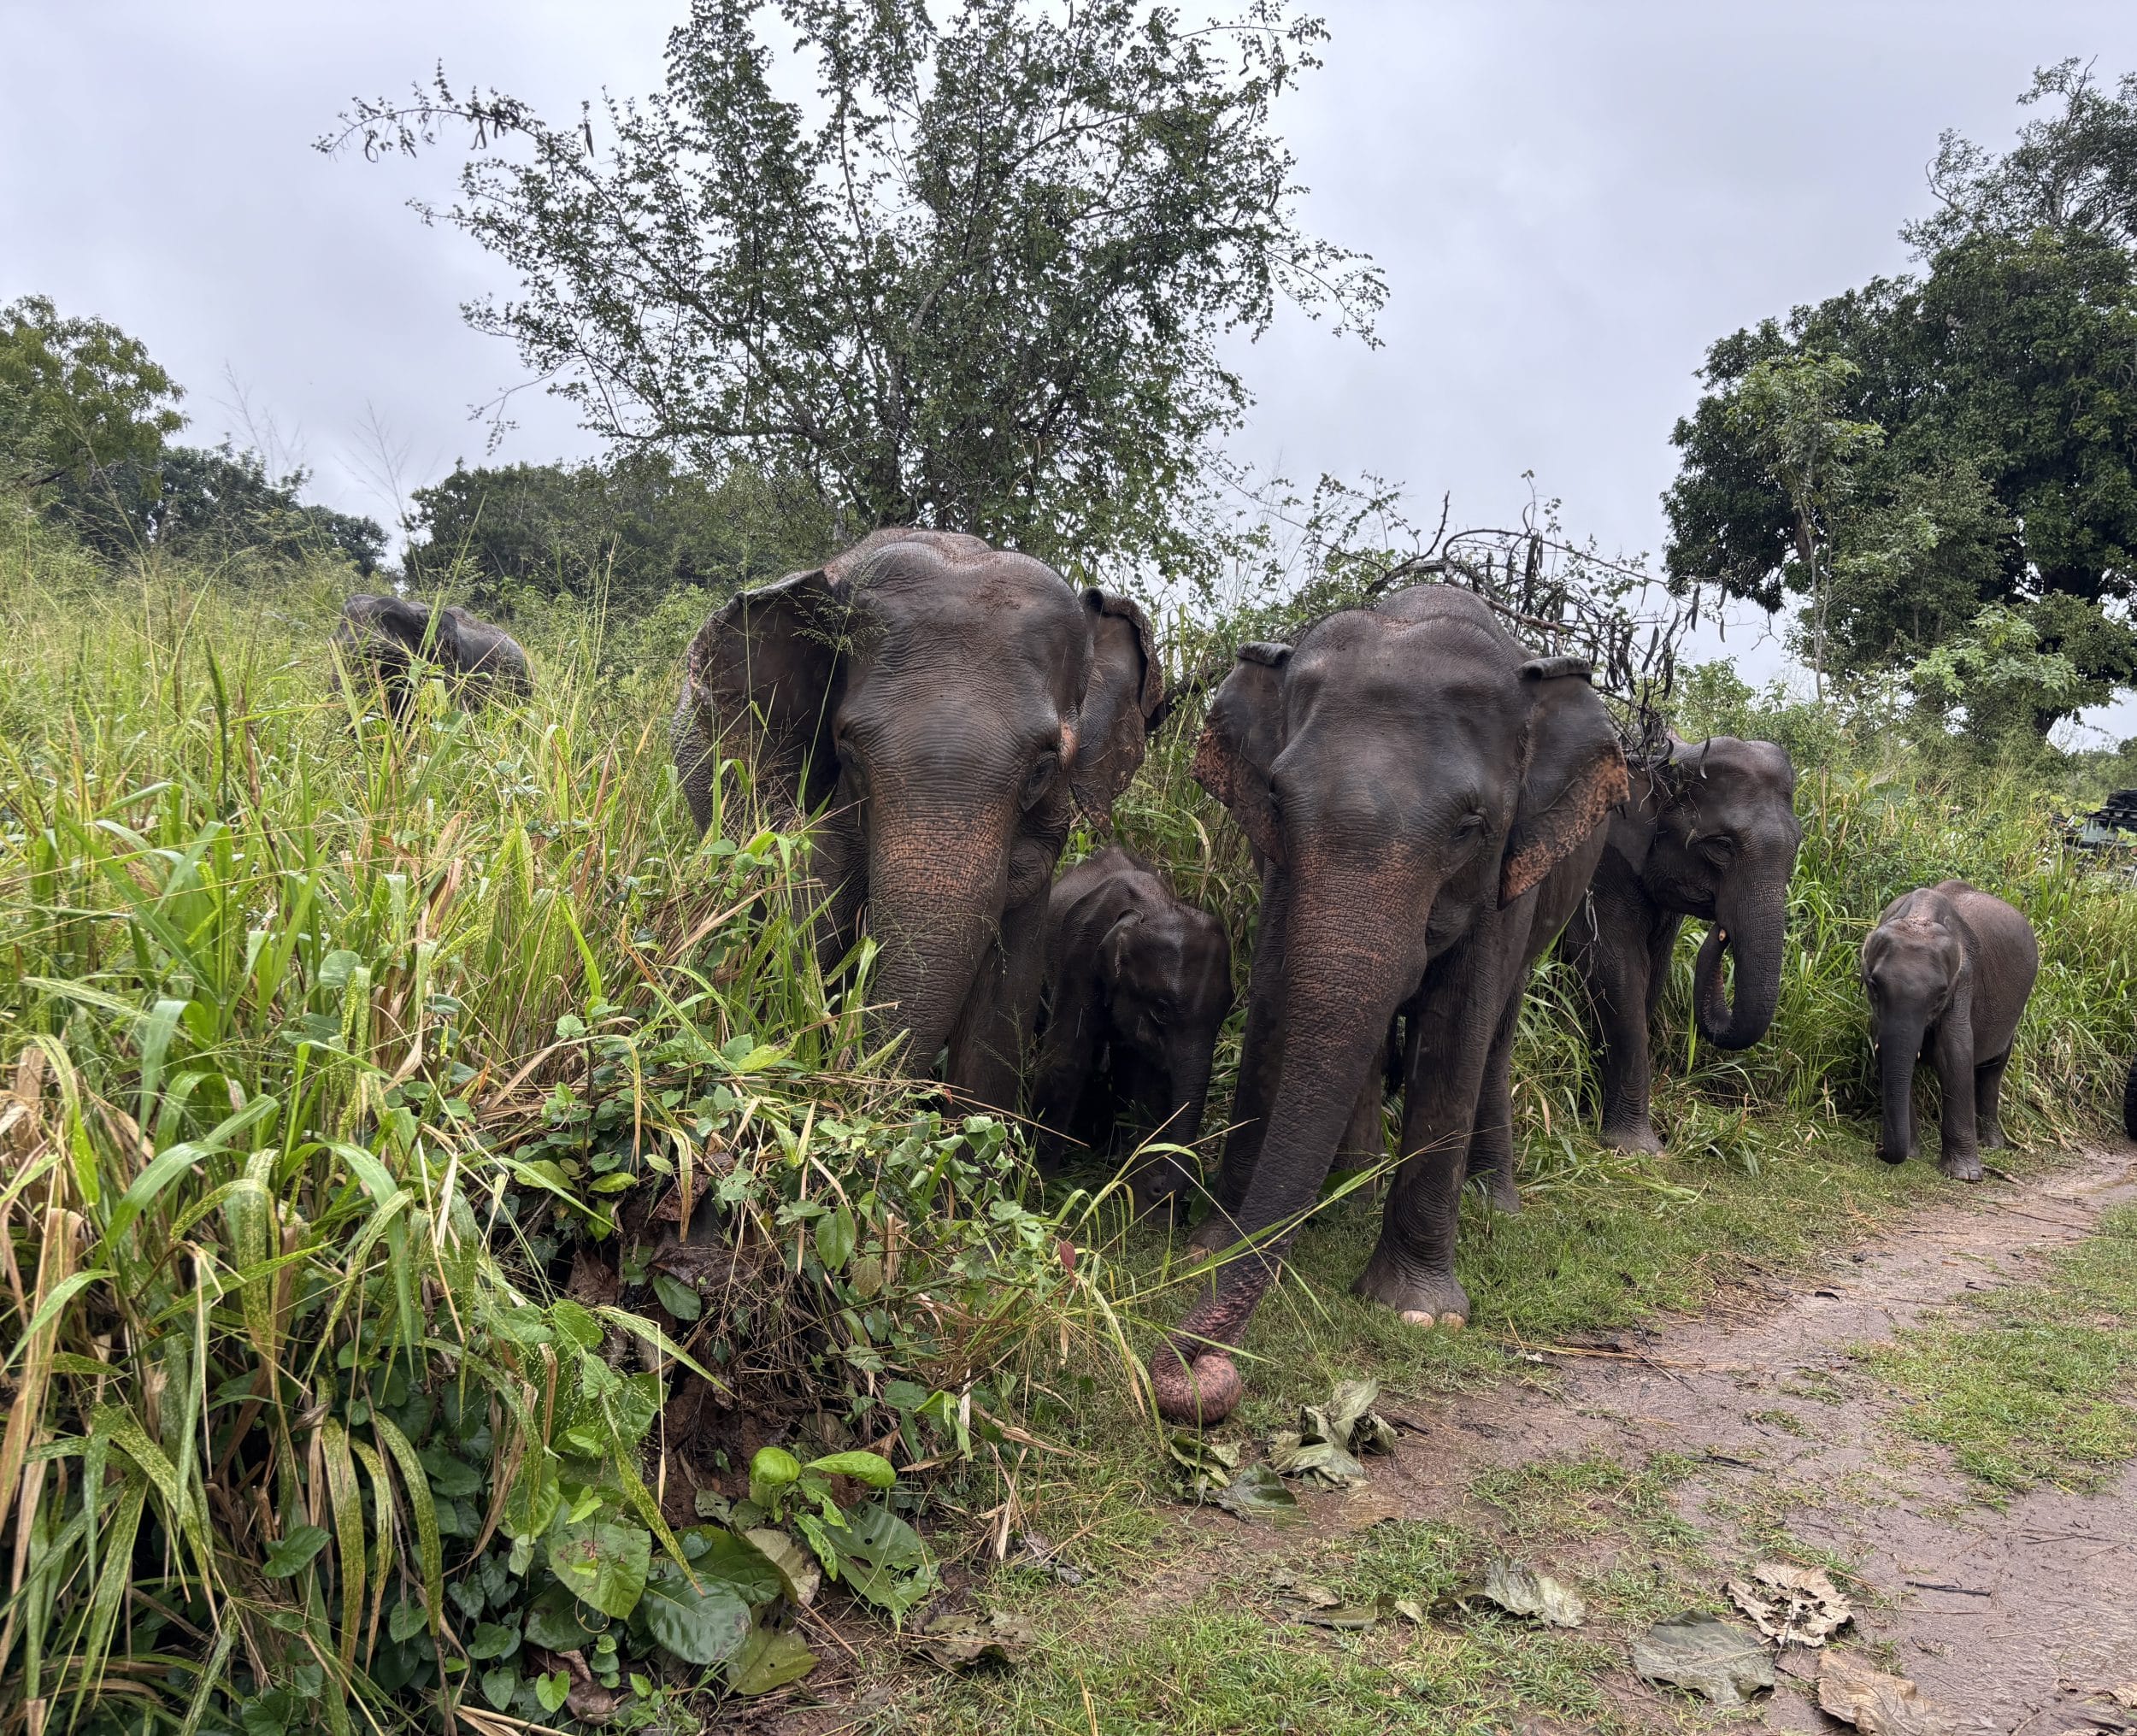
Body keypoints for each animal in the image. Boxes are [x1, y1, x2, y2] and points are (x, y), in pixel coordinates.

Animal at [1029, 846, 1233, 1216]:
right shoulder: (1079, 957)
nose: (1160, 1189)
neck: (1152, 908)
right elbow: (1065, 1060)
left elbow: (1152, 1085)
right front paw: (1041, 1186)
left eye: (1227, 1010)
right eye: (1161, 1009)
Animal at [1157, 584, 1629, 1425]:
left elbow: (1457, 1027)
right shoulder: (1277, 865)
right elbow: (1275, 994)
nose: (1196, 1366)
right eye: (1275, 794)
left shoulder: (1506, 869)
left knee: (1497, 1034)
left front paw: (1418, 1312)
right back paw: (1353, 1190)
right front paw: (1214, 1248)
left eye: (1472, 825)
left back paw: (1492, 1204)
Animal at [1559, 735, 1802, 1151]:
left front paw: (1594, 1112)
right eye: (1721, 846)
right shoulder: (1601, 862)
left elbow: (1653, 972)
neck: (1669, 754)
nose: (1721, 932)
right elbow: (1616, 967)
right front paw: (1637, 1150)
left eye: (1798, 844)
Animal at [1861, 880, 2038, 1182]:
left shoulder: (1964, 982)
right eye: (1873, 985)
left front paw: (1965, 1175)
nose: (1878, 1150)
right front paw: (1912, 1156)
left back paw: (1992, 1145)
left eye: (1940, 995)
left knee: (1994, 1069)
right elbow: (1884, 1049)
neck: (1918, 918)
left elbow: (1955, 1053)